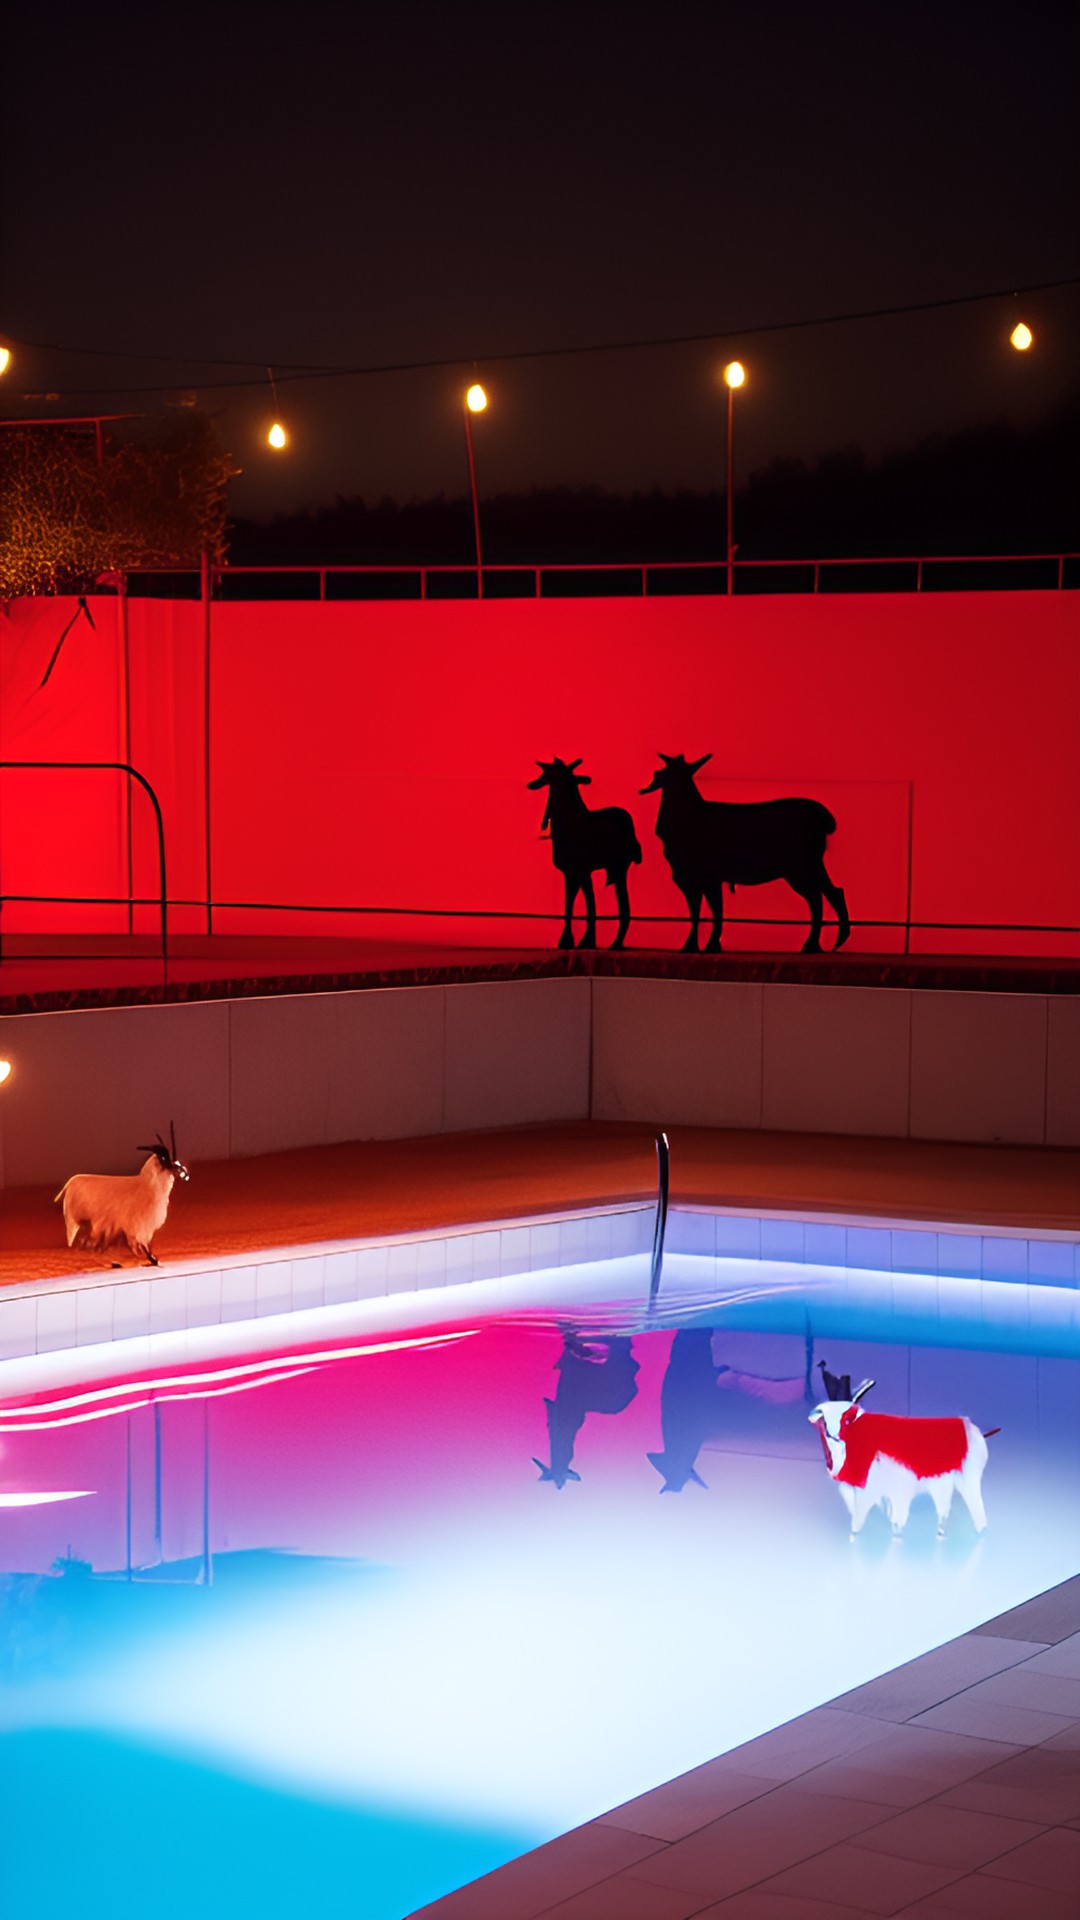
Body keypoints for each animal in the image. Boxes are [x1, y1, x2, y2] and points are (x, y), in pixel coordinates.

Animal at [56, 1121, 189, 1267]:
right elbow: (143, 1245)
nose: (184, 1173)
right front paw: (153, 1260)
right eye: (166, 1159)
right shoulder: (139, 1226)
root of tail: (69, 1186)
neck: (150, 1186)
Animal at [526, 756, 638, 952]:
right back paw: (616, 943)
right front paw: (571, 941)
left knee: (624, 906)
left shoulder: (581, 869)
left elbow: (587, 904)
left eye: (546, 772)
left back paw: (616, 944)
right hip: (620, 867)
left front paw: (582, 941)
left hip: (619, 865)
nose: (532, 783)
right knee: (624, 906)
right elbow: (572, 904)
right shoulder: (572, 871)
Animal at [638, 752, 849, 956]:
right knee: (829, 892)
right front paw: (699, 946)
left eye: (663, 770)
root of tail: (824, 820)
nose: (655, 774)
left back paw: (814, 945)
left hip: (799, 867)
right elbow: (702, 910)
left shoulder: (704, 875)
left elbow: (711, 909)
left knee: (817, 897)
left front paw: (705, 945)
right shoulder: (695, 877)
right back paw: (830, 943)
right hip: (810, 864)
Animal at [807, 1382, 991, 1543]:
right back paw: (941, 1532)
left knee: (975, 1507)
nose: (833, 1435)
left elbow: (887, 1516)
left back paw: (980, 1530)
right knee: (944, 1509)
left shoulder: (897, 1488)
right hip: (943, 1484)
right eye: (823, 1420)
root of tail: (970, 1426)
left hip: (968, 1482)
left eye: (846, 1419)